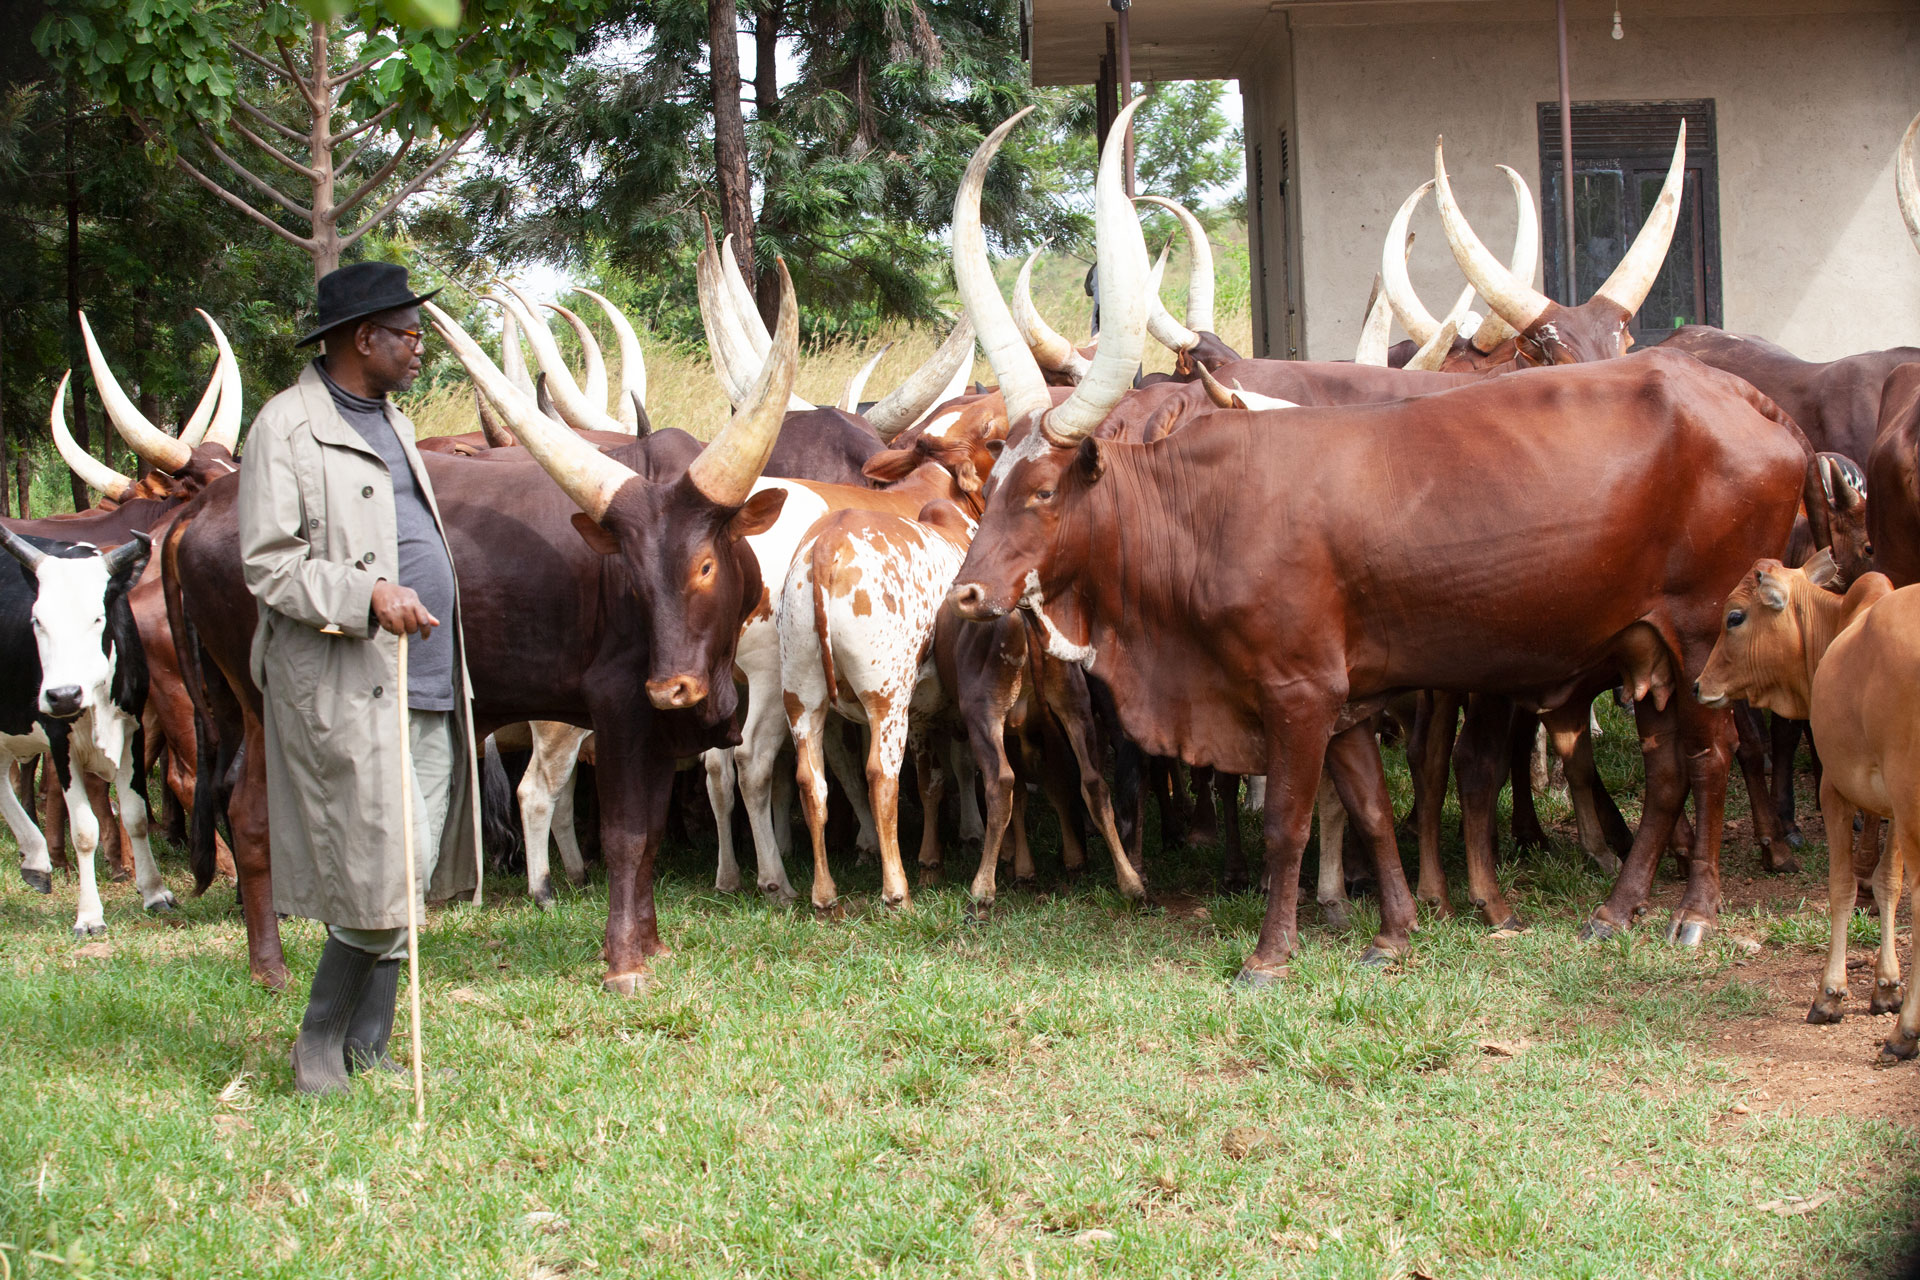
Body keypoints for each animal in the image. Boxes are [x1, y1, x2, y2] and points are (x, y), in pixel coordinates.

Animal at [0, 527, 170, 936]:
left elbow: (135, 816)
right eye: (37, 620)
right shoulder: (60, 743)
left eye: (97, 618)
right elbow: (84, 831)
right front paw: (90, 915)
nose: (63, 695)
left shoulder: (132, 729)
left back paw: (35, 859)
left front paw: (154, 892)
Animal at [947, 104, 1815, 980]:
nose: (969, 593)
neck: (1200, 509)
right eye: (991, 484)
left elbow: (1288, 821)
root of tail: (1753, 403)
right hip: (1652, 649)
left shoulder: (1296, 694)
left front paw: (1271, 955)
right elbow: (1367, 805)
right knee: (1668, 769)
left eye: (1044, 490)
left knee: (1711, 757)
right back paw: (1616, 909)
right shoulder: (1345, 704)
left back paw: (1694, 912)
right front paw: (1395, 930)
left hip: (1704, 636)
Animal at [1693, 558, 1920, 1065]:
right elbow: (1886, 884)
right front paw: (1886, 986)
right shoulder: (1893, 808)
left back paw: (1905, 1033)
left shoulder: (1834, 789)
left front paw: (1830, 994)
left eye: (1734, 617)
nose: (1698, 685)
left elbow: (1843, 887)